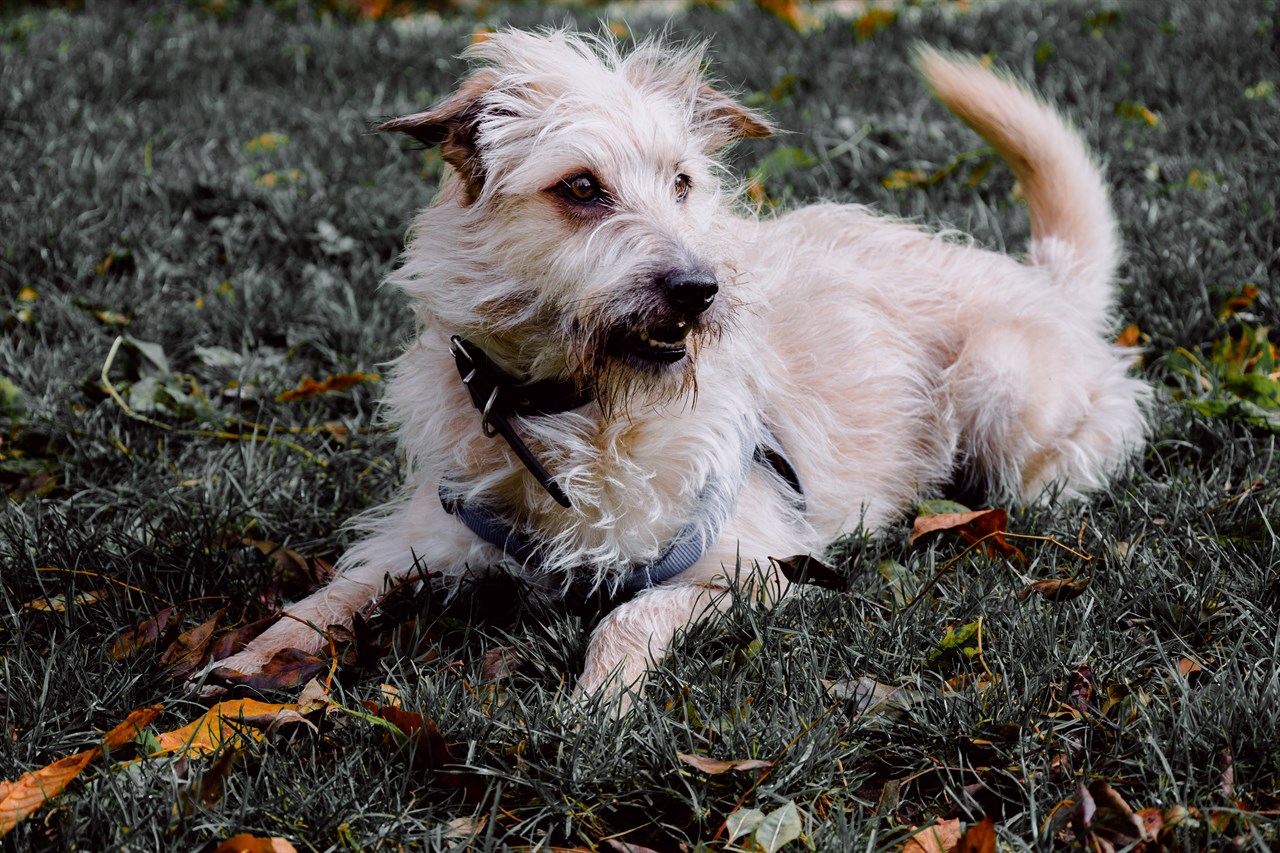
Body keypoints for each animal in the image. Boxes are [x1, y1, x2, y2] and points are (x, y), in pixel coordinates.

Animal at [199, 29, 1152, 701]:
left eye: (685, 182)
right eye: (583, 188)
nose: (700, 289)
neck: (574, 407)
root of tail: (1043, 279)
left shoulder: (752, 559)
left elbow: (630, 612)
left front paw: (600, 700)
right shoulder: (432, 533)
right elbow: (337, 591)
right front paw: (256, 656)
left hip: (997, 382)